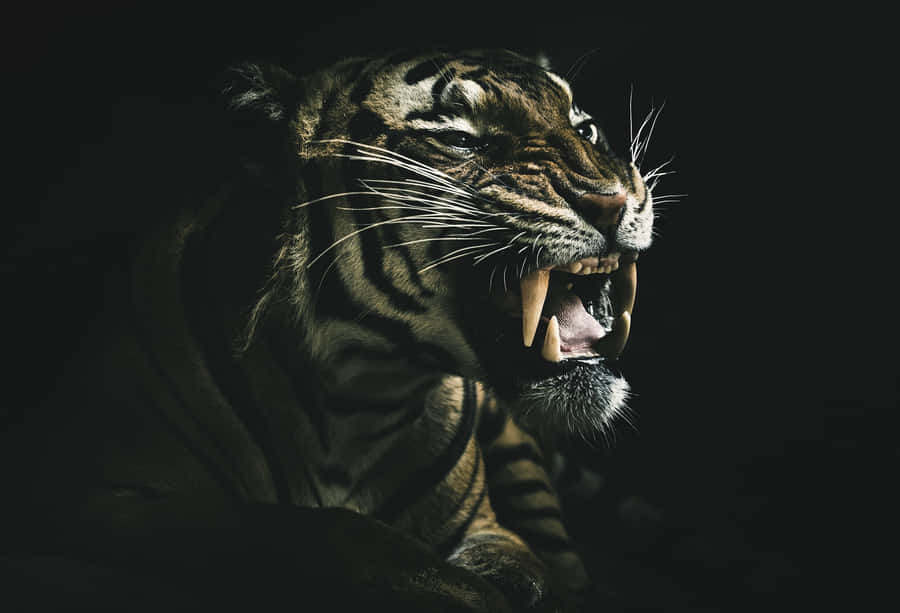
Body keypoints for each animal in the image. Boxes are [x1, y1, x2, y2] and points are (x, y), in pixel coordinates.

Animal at [3, 49, 656, 612]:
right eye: (459, 139)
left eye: (587, 130)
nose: (616, 200)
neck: (361, 396)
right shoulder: (106, 495)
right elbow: (327, 532)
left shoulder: (486, 527)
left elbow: (529, 571)